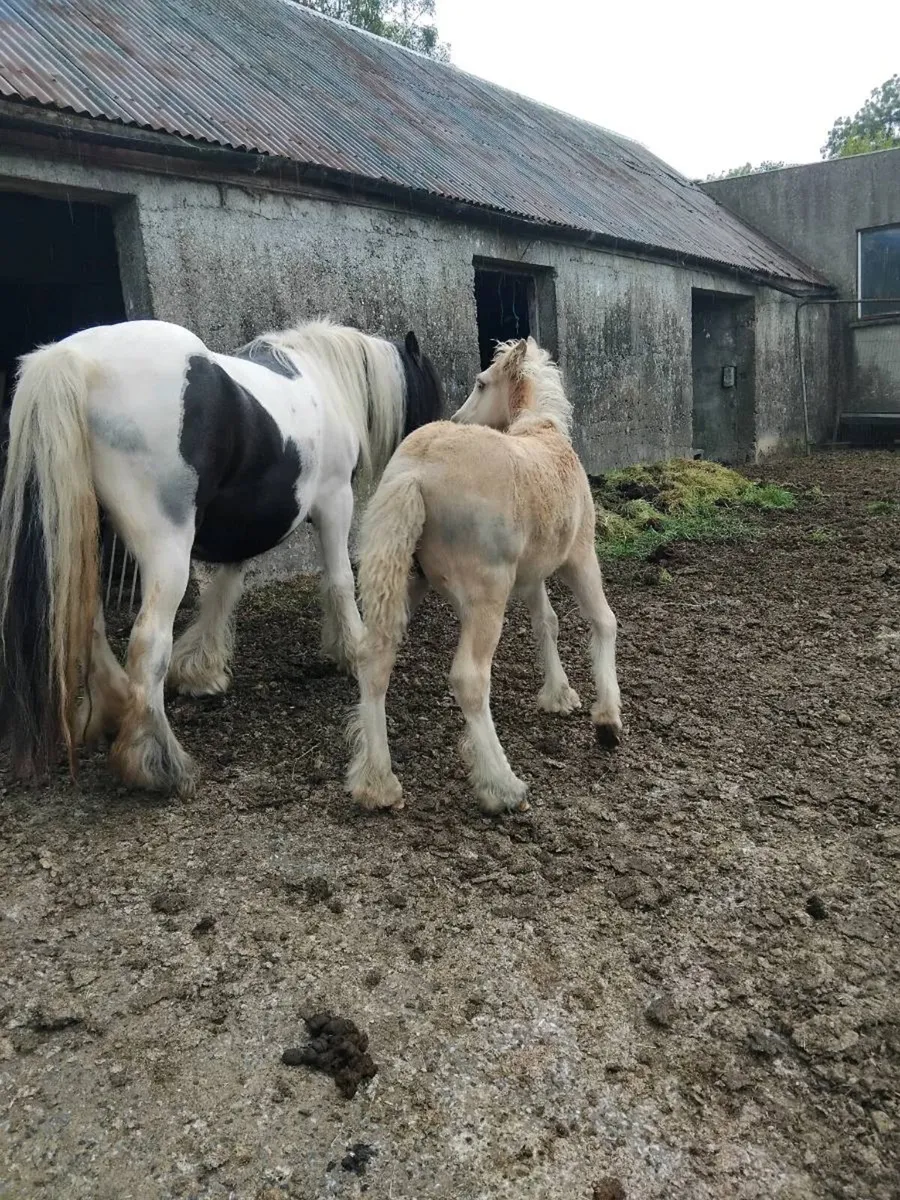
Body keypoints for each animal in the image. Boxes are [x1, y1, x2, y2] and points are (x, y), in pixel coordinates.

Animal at [0, 317, 443, 796]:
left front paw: (199, 670)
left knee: (91, 623)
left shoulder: (246, 522)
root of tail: (75, 359)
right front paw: (355, 649)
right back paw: (156, 762)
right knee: (147, 642)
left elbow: (225, 591)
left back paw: (115, 712)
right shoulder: (335, 502)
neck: (324, 378)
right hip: (166, 548)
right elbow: (340, 580)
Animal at [346, 336, 622, 815]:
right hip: (487, 597)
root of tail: (415, 472)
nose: (459, 417)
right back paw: (502, 786)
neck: (542, 431)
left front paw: (558, 695)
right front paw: (608, 719)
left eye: (480, 383)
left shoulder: (531, 575)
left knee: (374, 658)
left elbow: (546, 623)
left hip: (407, 582)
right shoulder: (580, 556)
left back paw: (377, 784)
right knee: (470, 678)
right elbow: (603, 621)